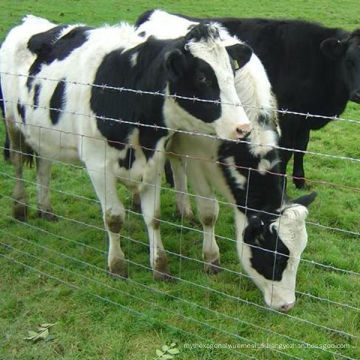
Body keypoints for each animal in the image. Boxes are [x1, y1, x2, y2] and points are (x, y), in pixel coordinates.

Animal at [0, 15, 253, 280]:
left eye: (232, 72)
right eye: (202, 77)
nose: (243, 127)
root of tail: (30, 21)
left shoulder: (153, 161)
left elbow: (153, 217)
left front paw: (160, 266)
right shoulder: (97, 166)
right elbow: (113, 217)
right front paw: (117, 265)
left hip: (43, 132)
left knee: (44, 166)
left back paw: (45, 209)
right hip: (12, 121)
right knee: (17, 162)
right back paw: (20, 208)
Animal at [136, 9, 360, 188]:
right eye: (349, 61)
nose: (358, 94)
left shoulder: (304, 119)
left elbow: (301, 148)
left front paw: (300, 181)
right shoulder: (288, 117)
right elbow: (286, 152)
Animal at [136, 11, 316, 310]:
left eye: (299, 254)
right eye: (274, 255)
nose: (287, 305)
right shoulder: (197, 157)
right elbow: (209, 212)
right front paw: (211, 259)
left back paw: (184, 210)